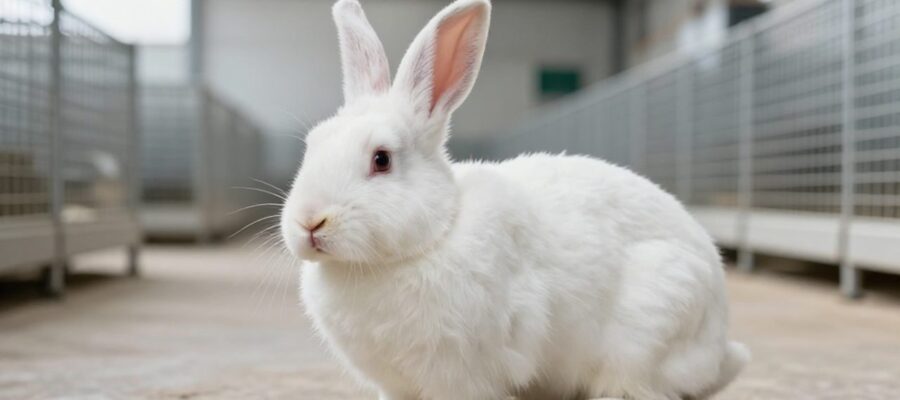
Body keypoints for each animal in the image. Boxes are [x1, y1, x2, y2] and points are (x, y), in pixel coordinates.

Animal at [280, 0, 750, 399]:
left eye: (381, 159)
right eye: (311, 145)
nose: (309, 222)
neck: (434, 236)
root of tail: (719, 344)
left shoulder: (462, 374)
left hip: (650, 327)